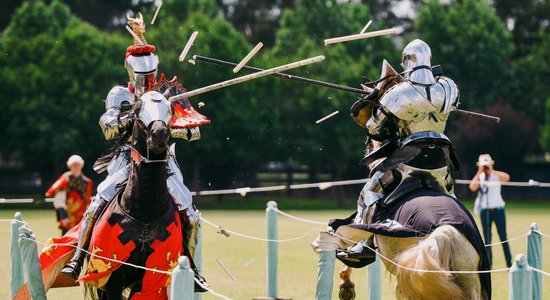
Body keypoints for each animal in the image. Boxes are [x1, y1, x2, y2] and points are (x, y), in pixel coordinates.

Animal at [83, 92, 184, 300]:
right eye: (137, 109)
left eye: (170, 109)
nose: (159, 134)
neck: (144, 209)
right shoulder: (110, 279)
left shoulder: (148, 280)